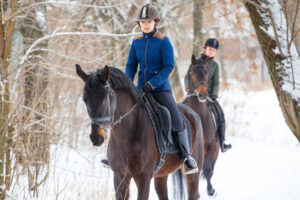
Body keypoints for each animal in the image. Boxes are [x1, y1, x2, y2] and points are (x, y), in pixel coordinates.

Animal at [76, 64, 205, 200]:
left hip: (192, 176)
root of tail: (192, 113)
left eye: (105, 99)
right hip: (161, 176)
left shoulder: (143, 179)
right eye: (85, 99)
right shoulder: (120, 177)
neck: (126, 135)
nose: (96, 138)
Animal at [182, 55, 219, 197]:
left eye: (206, 72)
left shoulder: (212, 147)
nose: (202, 94)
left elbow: (208, 170)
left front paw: (210, 190)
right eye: (191, 73)